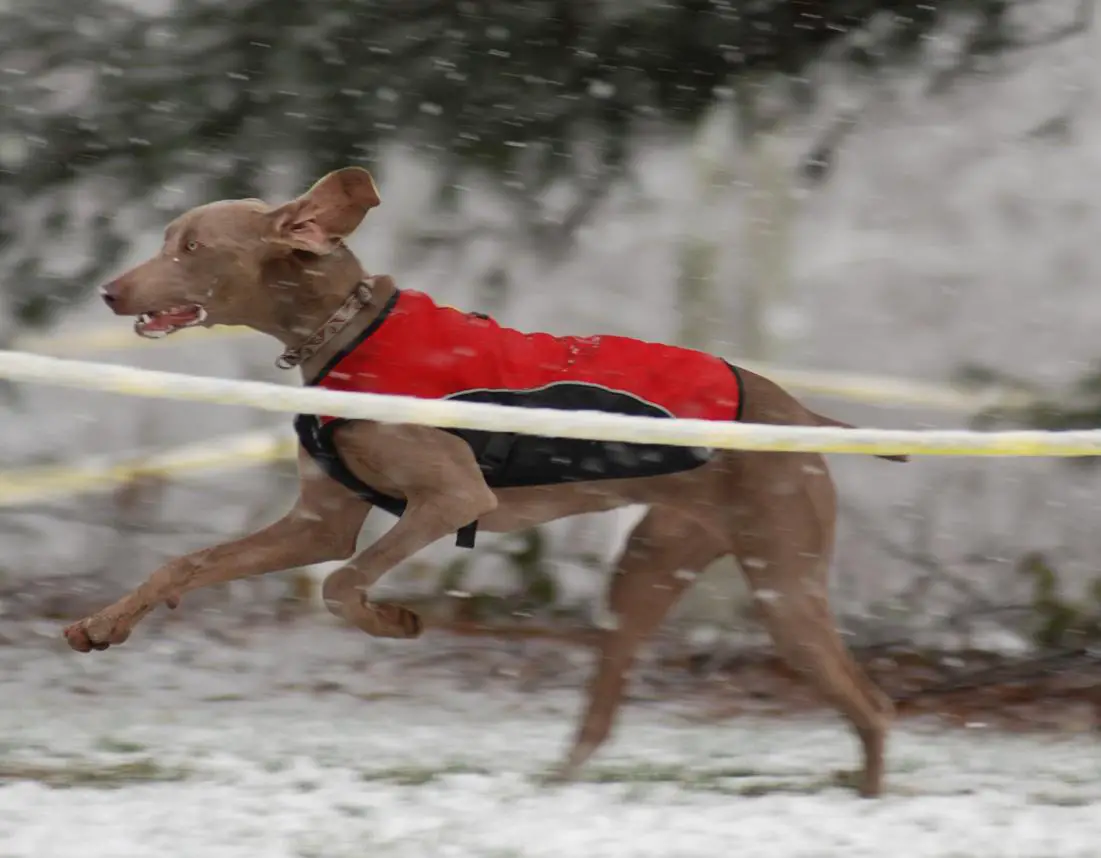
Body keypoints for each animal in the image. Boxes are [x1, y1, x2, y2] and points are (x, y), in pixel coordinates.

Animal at [73, 166, 907, 797]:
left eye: (192, 247)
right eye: (168, 240)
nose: (109, 292)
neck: (344, 332)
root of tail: (797, 410)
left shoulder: (450, 498)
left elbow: (342, 584)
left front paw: (394, 621)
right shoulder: (319, 522)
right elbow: (190, 561)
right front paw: (104, 623)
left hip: (782, 583)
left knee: (871, 706)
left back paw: (867, 798)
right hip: (651, 567)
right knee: (603, 711)